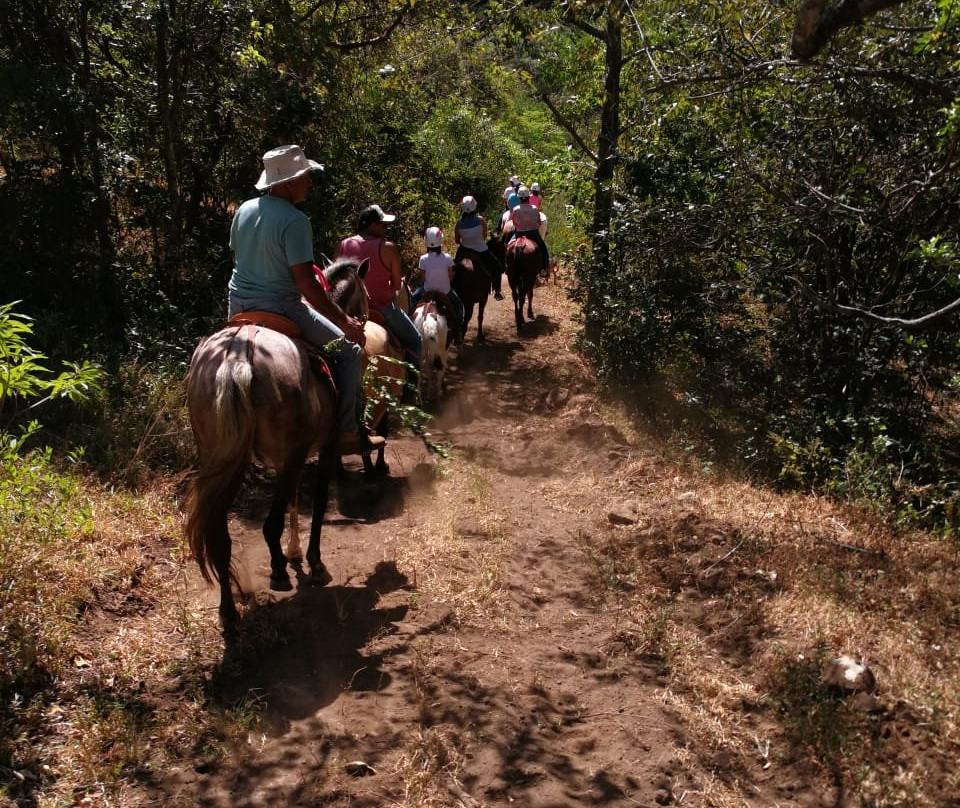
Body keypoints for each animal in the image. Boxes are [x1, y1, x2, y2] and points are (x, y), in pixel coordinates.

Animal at [184, 256, 368, 628]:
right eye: (366, 295)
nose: (364, 323)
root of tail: (238, 355)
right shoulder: (322, 447)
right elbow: (316, 502)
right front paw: (313, 562)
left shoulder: (291, 458)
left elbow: (294, 500)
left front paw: (295, 553)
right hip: (283, 454)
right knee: (269, 525)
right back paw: (279, 573)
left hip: (224, 458)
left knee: (219, 536)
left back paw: (229, 613)